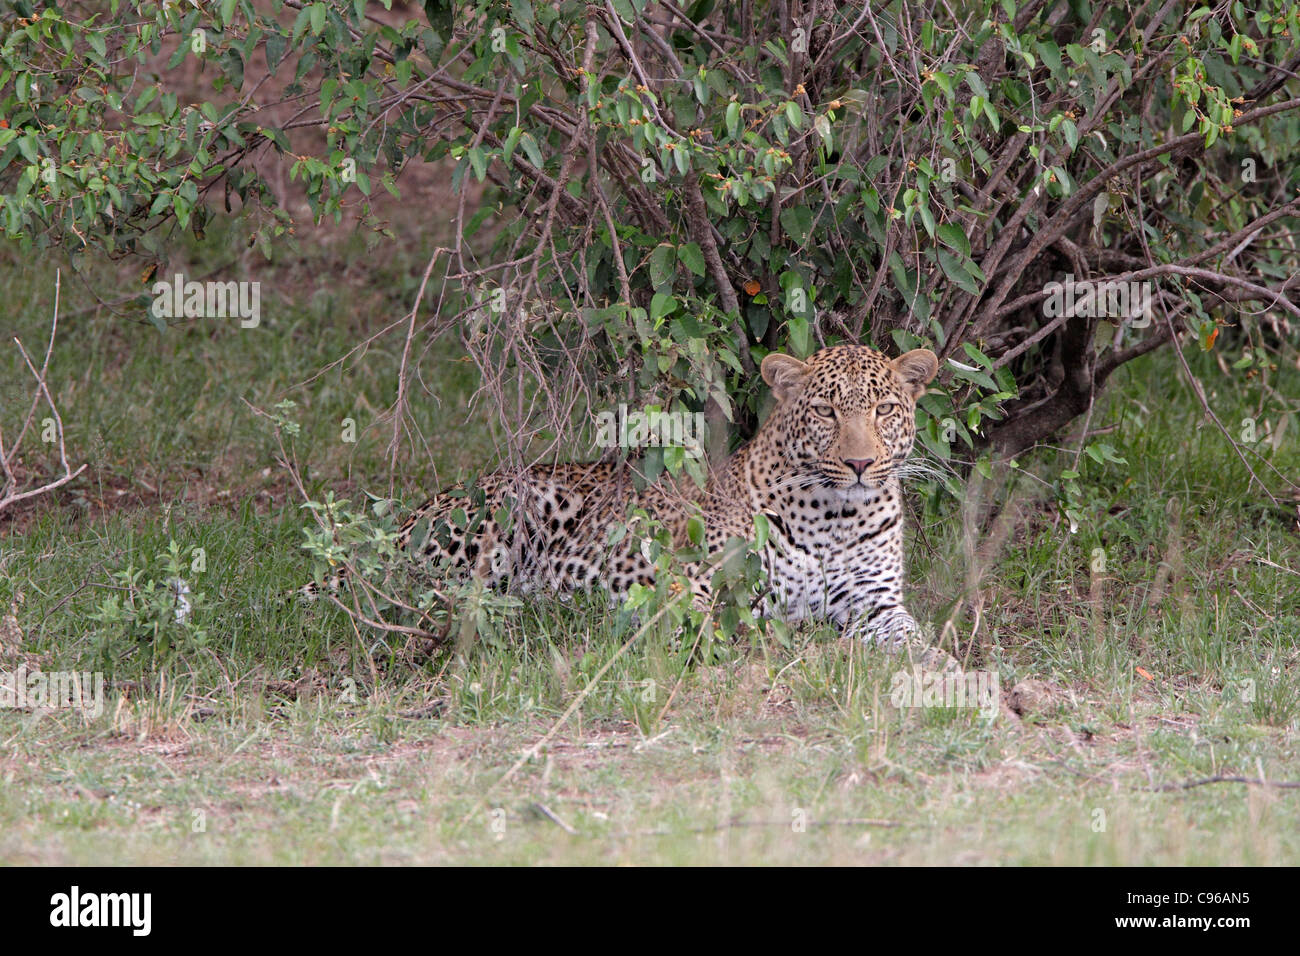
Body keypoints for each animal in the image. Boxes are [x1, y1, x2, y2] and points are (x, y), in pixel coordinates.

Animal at [377, 342, 952, 665]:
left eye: (884, 410)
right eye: (826, 412)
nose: (859, 463)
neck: (837, 517)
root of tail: (409, 516)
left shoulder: (874, 602)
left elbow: (914, 639)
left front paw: (947, 670)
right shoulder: (686, 576)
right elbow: (698, 617)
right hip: (505, 518)